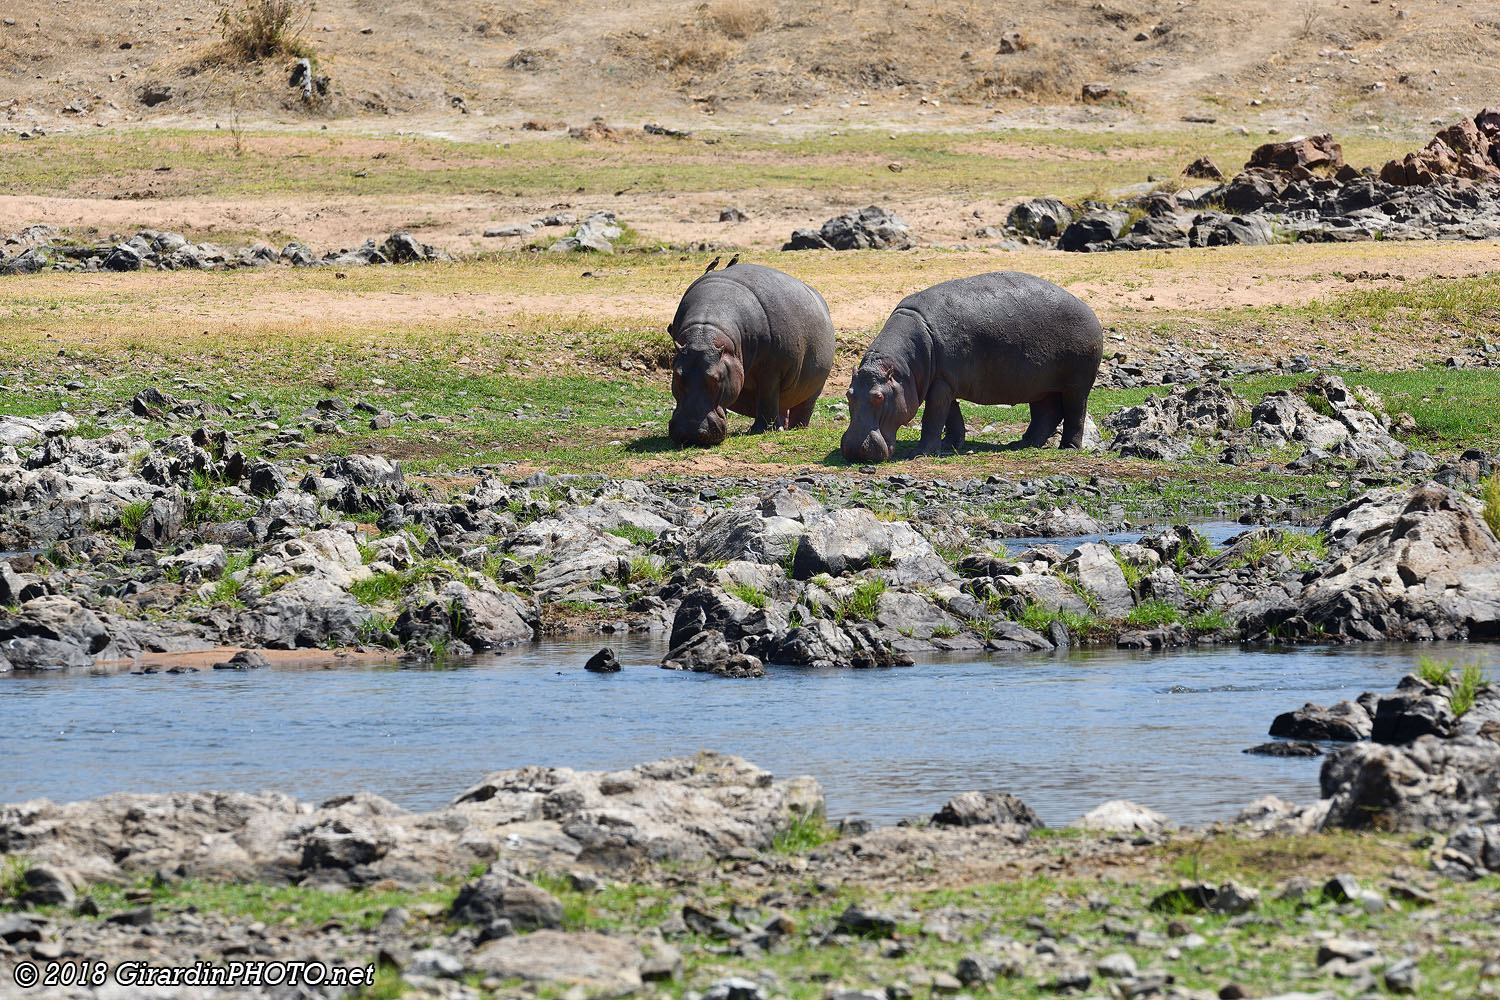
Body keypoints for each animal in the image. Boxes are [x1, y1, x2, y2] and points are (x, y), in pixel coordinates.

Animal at [667, 263, 836, 446]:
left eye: (716, 378)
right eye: (677, 376)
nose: (690, 433)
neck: (706, 329)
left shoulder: (771, 371)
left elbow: (767, 398)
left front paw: (763, 430)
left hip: (814, 388)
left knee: (801, 408)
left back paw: (795, 428)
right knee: (782, 405)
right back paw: (783, 427)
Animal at [840, 271, 1103, 463]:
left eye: (879, 397)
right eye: (849, 394)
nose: (854, 450)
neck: (901, 369)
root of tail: (1089, 308)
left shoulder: (941, 383)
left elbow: (933, 417)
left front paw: (920, 453)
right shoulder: (943, 382)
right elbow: (950, 415)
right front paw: (950, 445)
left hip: (1076, 384)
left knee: (1075, 412)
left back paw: (1068, 448)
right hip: (1039, 385)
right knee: (1046, 414)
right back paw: (1022, 443)